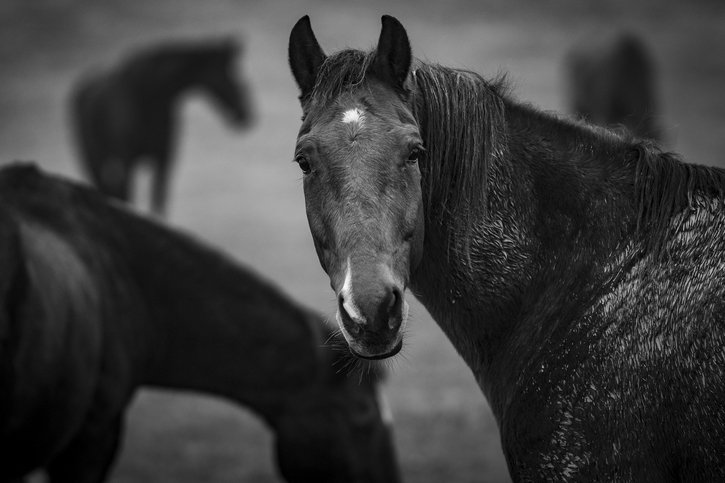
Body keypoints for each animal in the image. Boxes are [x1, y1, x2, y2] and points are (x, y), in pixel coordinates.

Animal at [68, 38, 255, 216]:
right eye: (234, 74)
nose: (248, 114)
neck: (150, 96)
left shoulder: (164, 157)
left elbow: (158, 203)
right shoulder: (126, 158)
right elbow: (130, 197)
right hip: (93, 158)